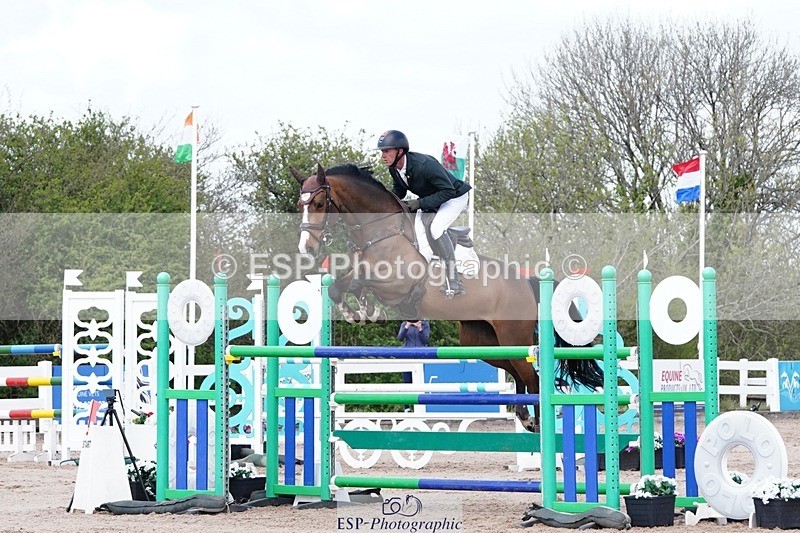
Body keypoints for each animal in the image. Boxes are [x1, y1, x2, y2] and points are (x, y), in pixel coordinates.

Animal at [291, 163, 604, 431]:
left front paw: (367, 309)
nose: (306, 249)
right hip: (481, 342)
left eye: (318, 204)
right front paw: (359, 312)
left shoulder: (397, 283)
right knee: (516, 373)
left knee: (533, 378)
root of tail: (526, 282)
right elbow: (339, 286)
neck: (382, 231)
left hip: (514, 335)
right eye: (299, 206)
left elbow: (359, 281)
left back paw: (537, 424)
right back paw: (524, 417)